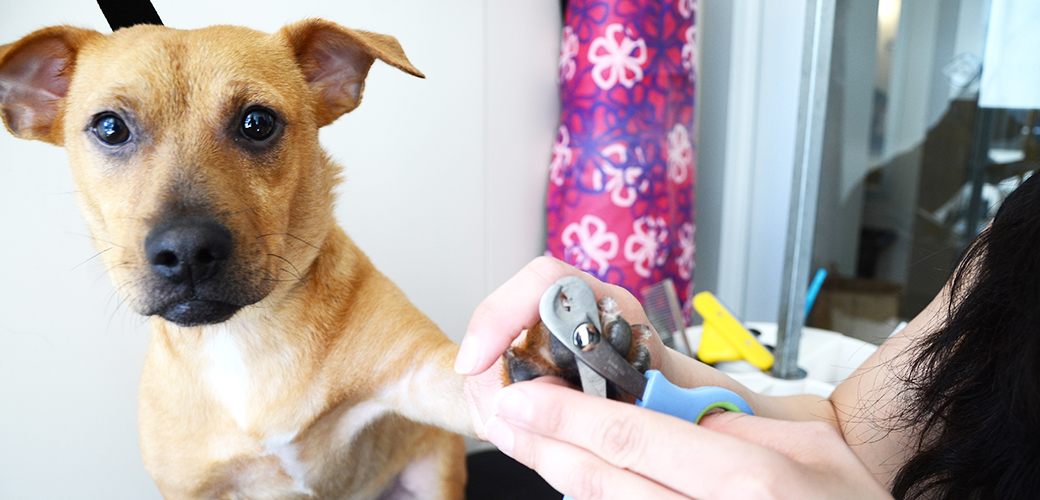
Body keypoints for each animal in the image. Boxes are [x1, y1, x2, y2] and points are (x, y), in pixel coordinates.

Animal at [0, 20, 472, 498]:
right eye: (110, 127)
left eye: (257, 123)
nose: (187, 250)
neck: (242, 334)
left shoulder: (423, 372)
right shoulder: (190, 487)